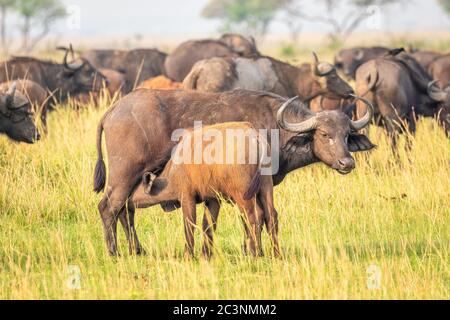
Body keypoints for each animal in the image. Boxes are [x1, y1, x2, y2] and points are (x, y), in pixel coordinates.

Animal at [142, 122, 274, 258]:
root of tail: (255, 136)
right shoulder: (213, 199)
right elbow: (208, 224)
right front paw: (205, 255)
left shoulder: (187, 197)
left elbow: (189, 224)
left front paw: (188, 255)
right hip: (265, 187)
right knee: (270, 216)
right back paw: (274, 253)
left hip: (243, 196)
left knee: (253, 218)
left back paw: (254, 254)